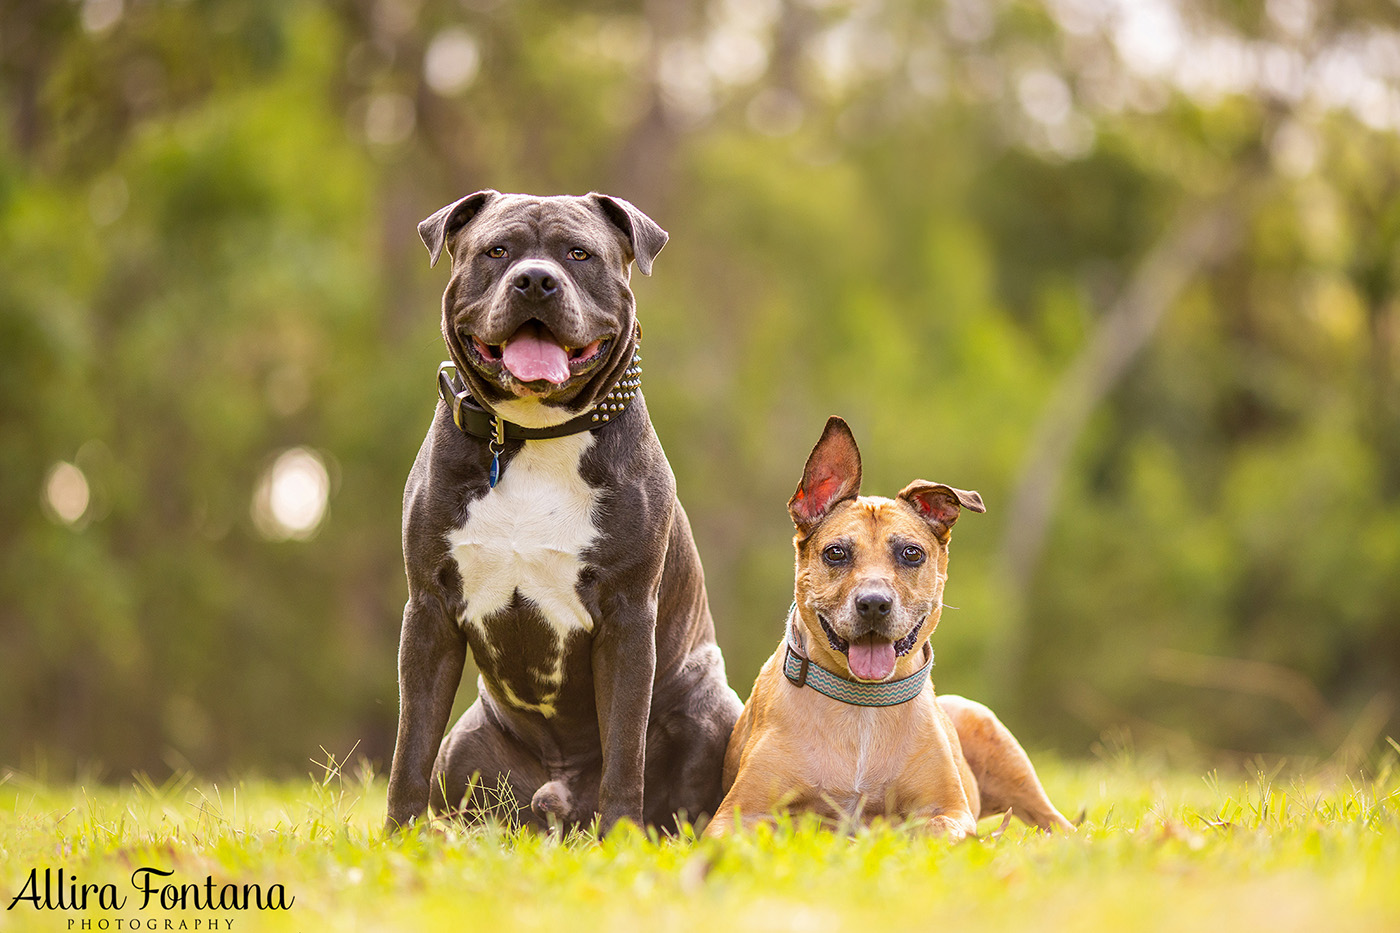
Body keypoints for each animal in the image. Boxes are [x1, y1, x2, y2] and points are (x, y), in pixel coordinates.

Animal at [383, 184, 744, 829]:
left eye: (579, 254)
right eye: (496, 251)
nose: (535, 280)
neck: (534, 435)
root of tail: (561, 796)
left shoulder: (628, 617)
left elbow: (625, 750)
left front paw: (621, 837)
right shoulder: (428, 611)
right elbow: (410, 748)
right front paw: (398, 839)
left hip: (713, 712)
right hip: (465, 747)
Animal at [705, 417, 1064, 840]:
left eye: (911, 553)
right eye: (836, 552)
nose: (874, 604)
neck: (864, 705)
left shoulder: (950, 809)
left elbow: (934, 829)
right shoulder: (736, 815)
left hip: (991, 735)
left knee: (1054, 821)